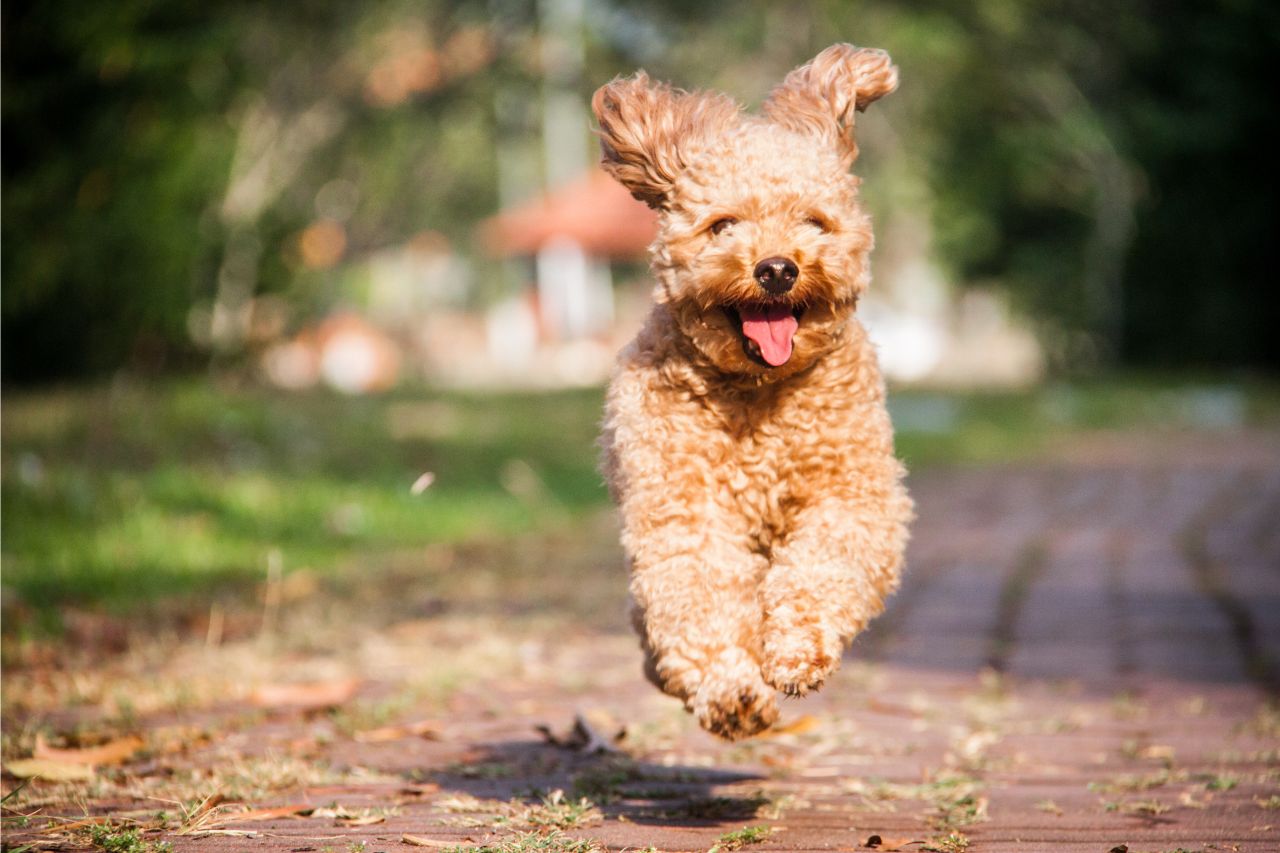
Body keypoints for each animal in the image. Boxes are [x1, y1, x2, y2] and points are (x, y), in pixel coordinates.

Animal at [593, 44, 916, 737]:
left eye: (814, 222)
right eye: (723, 225)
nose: (776, 269)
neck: (759, 394)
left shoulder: (851, 494)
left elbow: (823, 565)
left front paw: (796, 651)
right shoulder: (685, 511)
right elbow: (700, 591)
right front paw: (731, 692)